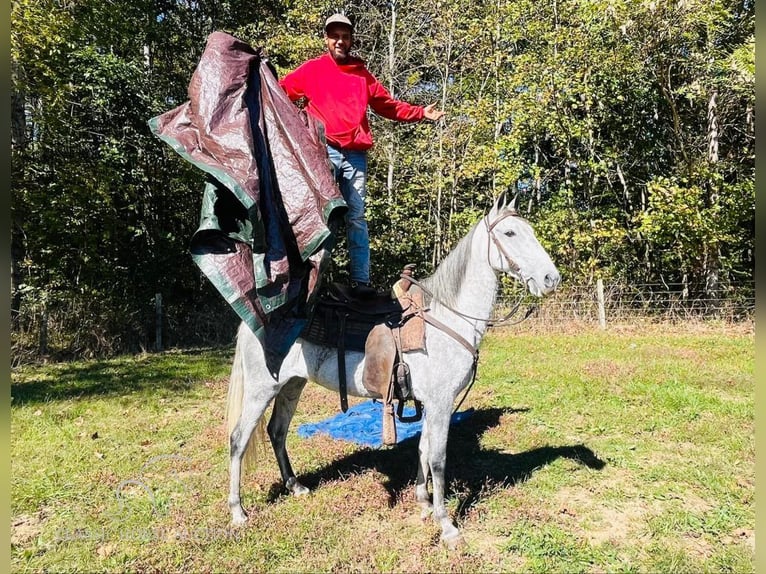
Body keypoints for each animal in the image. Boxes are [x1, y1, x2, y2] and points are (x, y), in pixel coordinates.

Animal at [225, 195, 560, 548]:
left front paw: (424, 503)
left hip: (292, 385)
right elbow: (438, 458)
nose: (551, 278)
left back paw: (296, 486)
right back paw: (238, 512)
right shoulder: (441, 404)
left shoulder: (432, 404)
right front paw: (446, 525)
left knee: (277, 430)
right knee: (238, 439)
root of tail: (257, 320)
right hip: (261, 390)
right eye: (510, 233)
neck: (447, 318)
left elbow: (423, 449)